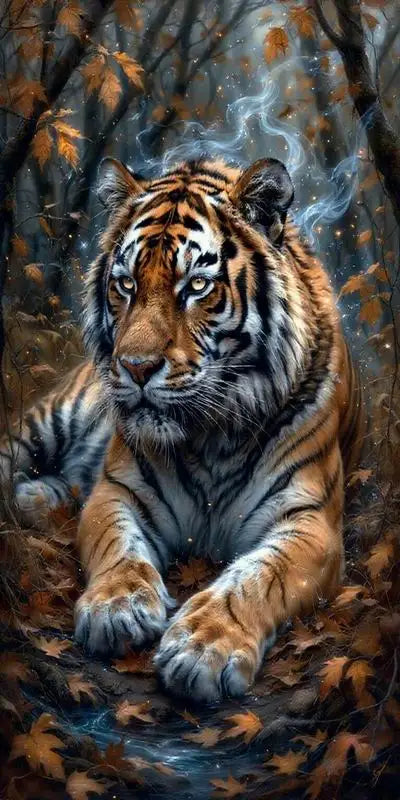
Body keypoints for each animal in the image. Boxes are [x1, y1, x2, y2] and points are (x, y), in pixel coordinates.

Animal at [0, 156, 364, 702]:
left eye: (196, 286)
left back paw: (36, 499)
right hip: (48, 420)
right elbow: (117, 547)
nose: (135, 367)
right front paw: (117, 607)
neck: (212, 434)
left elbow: (259, 577)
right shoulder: (118, 491)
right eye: (126, 284)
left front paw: (204, 648)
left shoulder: (310, 521)